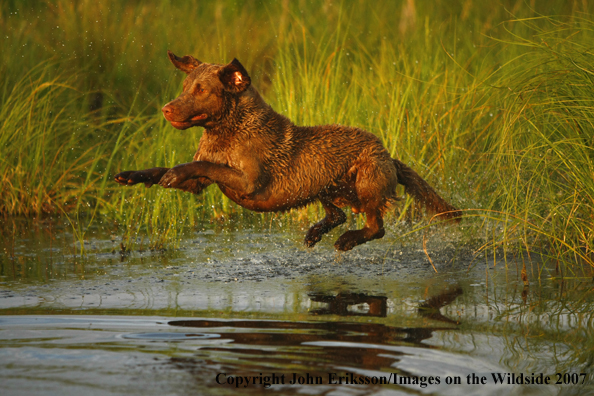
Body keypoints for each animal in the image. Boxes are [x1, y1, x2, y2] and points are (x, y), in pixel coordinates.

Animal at [113, 51, 460, 251]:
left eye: (201, 91)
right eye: (185, 88)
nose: (166, 110)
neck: (229, 129)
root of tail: (389, 155)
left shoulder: (250, 183)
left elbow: (205, 166)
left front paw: (173, 172)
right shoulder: (199, 185)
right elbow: (171, 169)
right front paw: (132, 175)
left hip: (367, 179)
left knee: (376, 227)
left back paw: (346, 241)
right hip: (325, 184)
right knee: (338, 214)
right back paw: (315, 234)